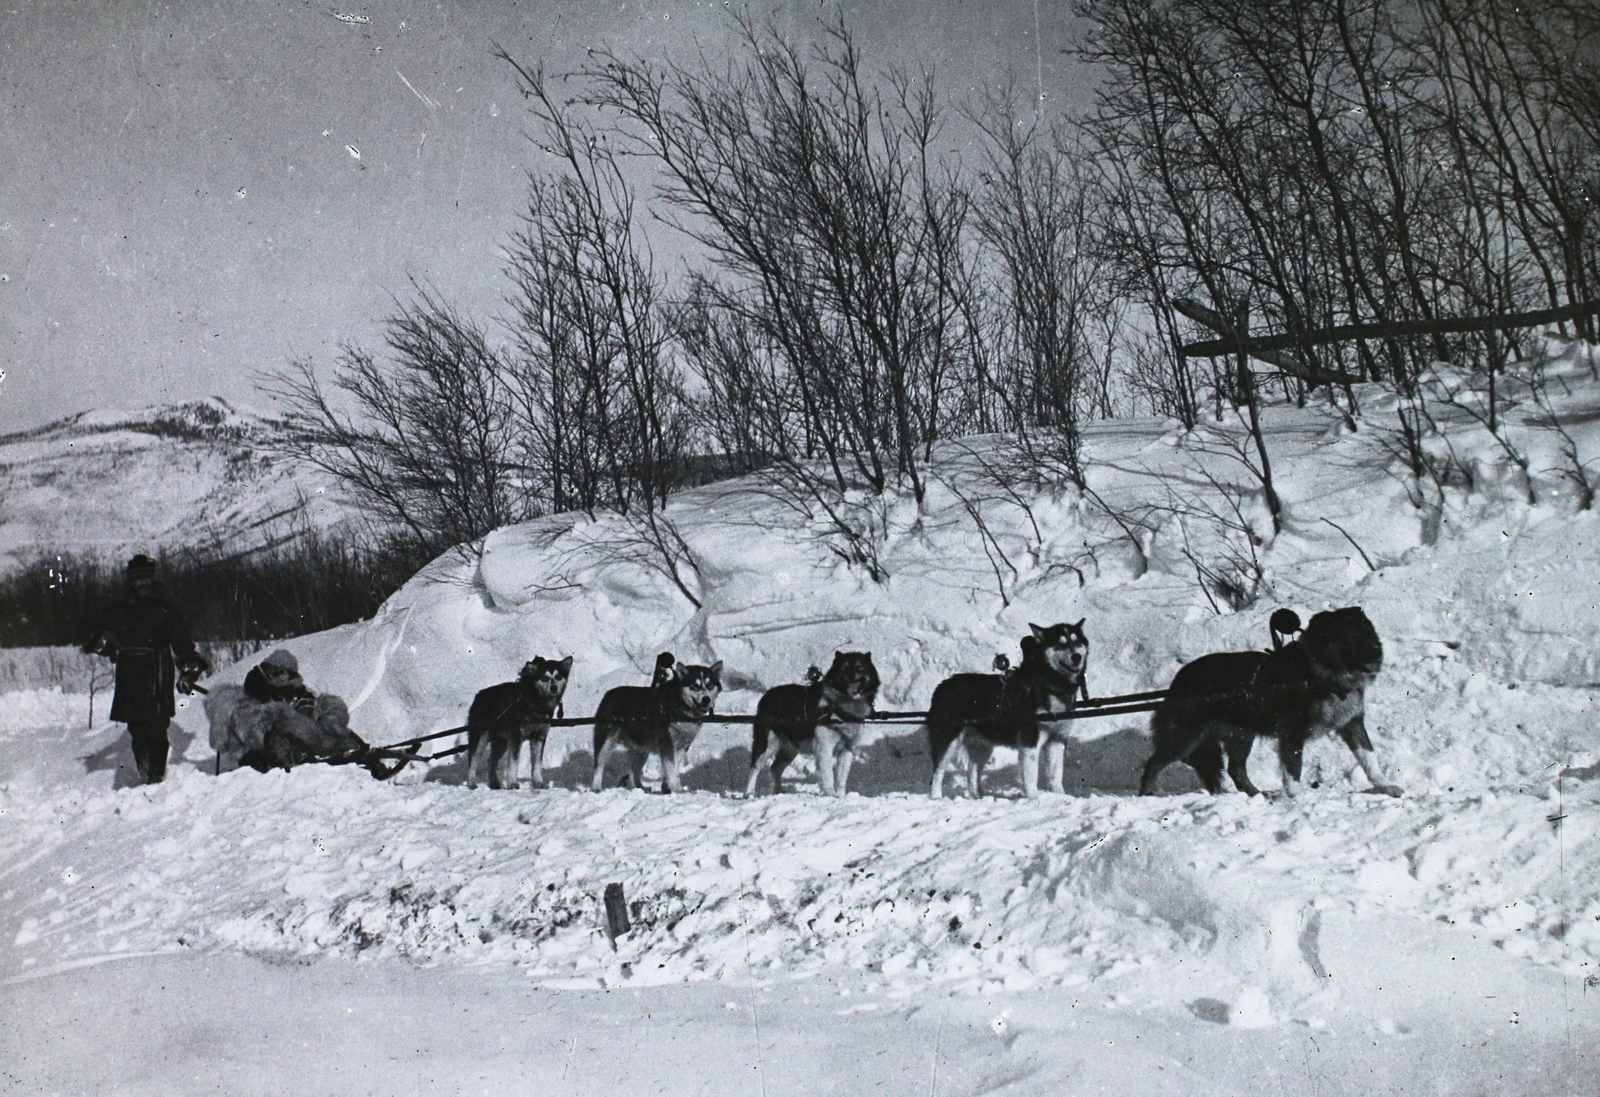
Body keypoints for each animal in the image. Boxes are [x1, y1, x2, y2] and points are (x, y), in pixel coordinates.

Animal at [467, 658, 572, 796]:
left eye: (558, 677)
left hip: (502, 741)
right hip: (480, 738)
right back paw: (471, 783)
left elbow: (537, 762)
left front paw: (538, 782)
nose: (553, 687)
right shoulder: (516, 736)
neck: (534, 703)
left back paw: (494, 783)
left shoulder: (539, 736)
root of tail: (479, 696)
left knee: (492, 761)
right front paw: (512, 783)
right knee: (473, 760)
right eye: (545, 678)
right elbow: (513, 761)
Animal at [592, 658, 723, 796]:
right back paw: (596, 787)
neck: (680, 706)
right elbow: (671, 767)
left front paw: (667, 786)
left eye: (710, 686)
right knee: (599, 765)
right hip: (606, 743)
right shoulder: (667, 742)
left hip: (641, 749)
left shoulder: (683, 743)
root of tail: (608, 694)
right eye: (694, 686)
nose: (706, 699)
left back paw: (639, 788)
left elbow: (675, 765)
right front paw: (677, 789)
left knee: (633, 771)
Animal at [742, 652, 883, 799]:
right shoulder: (824, 748)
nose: (851, 675)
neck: (839, 707)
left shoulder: (847, 749)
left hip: (790, 749)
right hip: (768, 743)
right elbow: (828, 774)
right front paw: (831, 794)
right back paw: (749, 792)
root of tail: (767, 695)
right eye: (844, 667)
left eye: (859, 666)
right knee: (755, 767)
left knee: (775, 768)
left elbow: (841, 777)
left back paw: (777, 790)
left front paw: (841, 796)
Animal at [928, 626, 1088, 799]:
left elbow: (1056, 774)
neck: (1048, 686)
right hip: (948, 741)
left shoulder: (1057, 738)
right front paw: (1034, 797)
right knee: (938, 771)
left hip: (982, 746)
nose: (1077, 657)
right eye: (1060, 644)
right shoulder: (1029, 740)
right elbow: (1031, 774)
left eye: (1077, 642)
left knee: (972, 772)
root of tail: (942, 686)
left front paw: (1061, 796)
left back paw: (978, 796)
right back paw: (936, 797)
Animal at [1139, 610, 1401, 799]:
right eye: (1349, 637)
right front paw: (1296, 797)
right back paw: (1147, 793)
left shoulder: (1352, 724)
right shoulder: (1292, 731)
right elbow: (1293, 768)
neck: (1321, 676)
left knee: (1235, 769)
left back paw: (1256, 794)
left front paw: (1385, 785)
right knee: (1155, 761)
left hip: (1241, 735)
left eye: (1368, 632)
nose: (1377, 654)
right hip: (1186, 736)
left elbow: (1370, 759)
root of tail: (1178, 680)